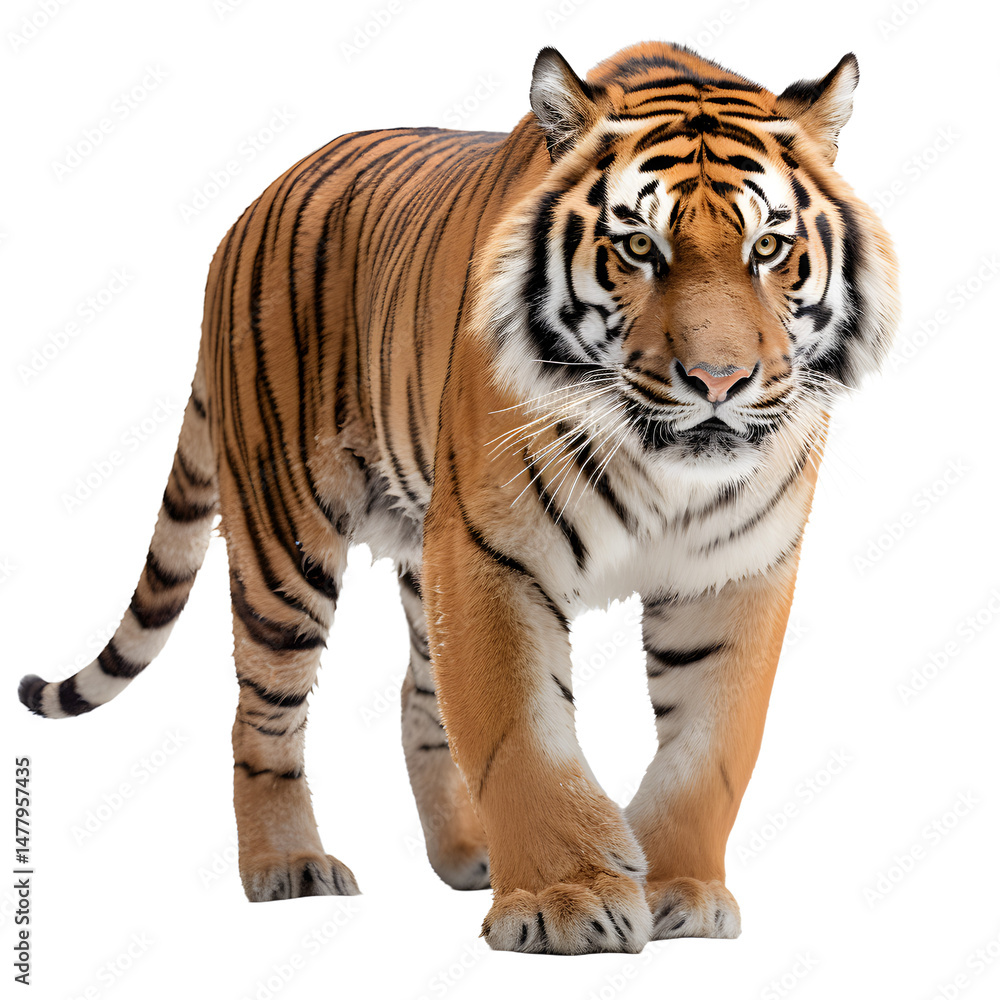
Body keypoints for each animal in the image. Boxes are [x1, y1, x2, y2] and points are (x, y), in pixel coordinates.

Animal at [19, 40, 898, 955]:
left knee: (417, 699)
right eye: (637, 246)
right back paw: (287, 865)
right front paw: (563, 901)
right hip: (283, 538)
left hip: (415, 542)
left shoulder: (734, 571)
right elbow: (522, 731)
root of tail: (248, 212)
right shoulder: (492, 552)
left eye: (768, 247)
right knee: (263, 714)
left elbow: (711, 744)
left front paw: (681, 891)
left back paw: (468, 852)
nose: (719, 380)